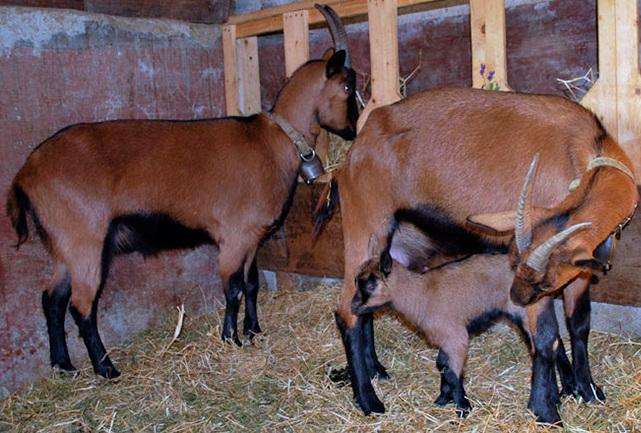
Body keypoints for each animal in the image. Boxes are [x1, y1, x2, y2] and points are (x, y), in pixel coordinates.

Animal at [5, 5, 356, 378]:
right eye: (348, 85)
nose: (353, 128)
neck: (273, 142)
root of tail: (26, 171)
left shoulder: (251, 238)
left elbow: (252, 284)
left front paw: (253, 331)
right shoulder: (234, 236)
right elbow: (232, 288)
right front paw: (231, 338)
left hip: (63, 247)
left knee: (52, 299)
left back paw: (64, 364)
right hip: (85, 241)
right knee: (81, 305)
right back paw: (106, 368)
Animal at [352, 223, 572, 422]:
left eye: (370, 285)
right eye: (356, 281)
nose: (353, 307)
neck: (421, 294)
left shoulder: (456, 338)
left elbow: (453, 373)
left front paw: (462, 409)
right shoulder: (446, 341)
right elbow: (442, 364)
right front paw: (443, 399)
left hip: (530, 312)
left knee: (544, 346)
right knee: (551, 344)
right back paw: (555, 398)